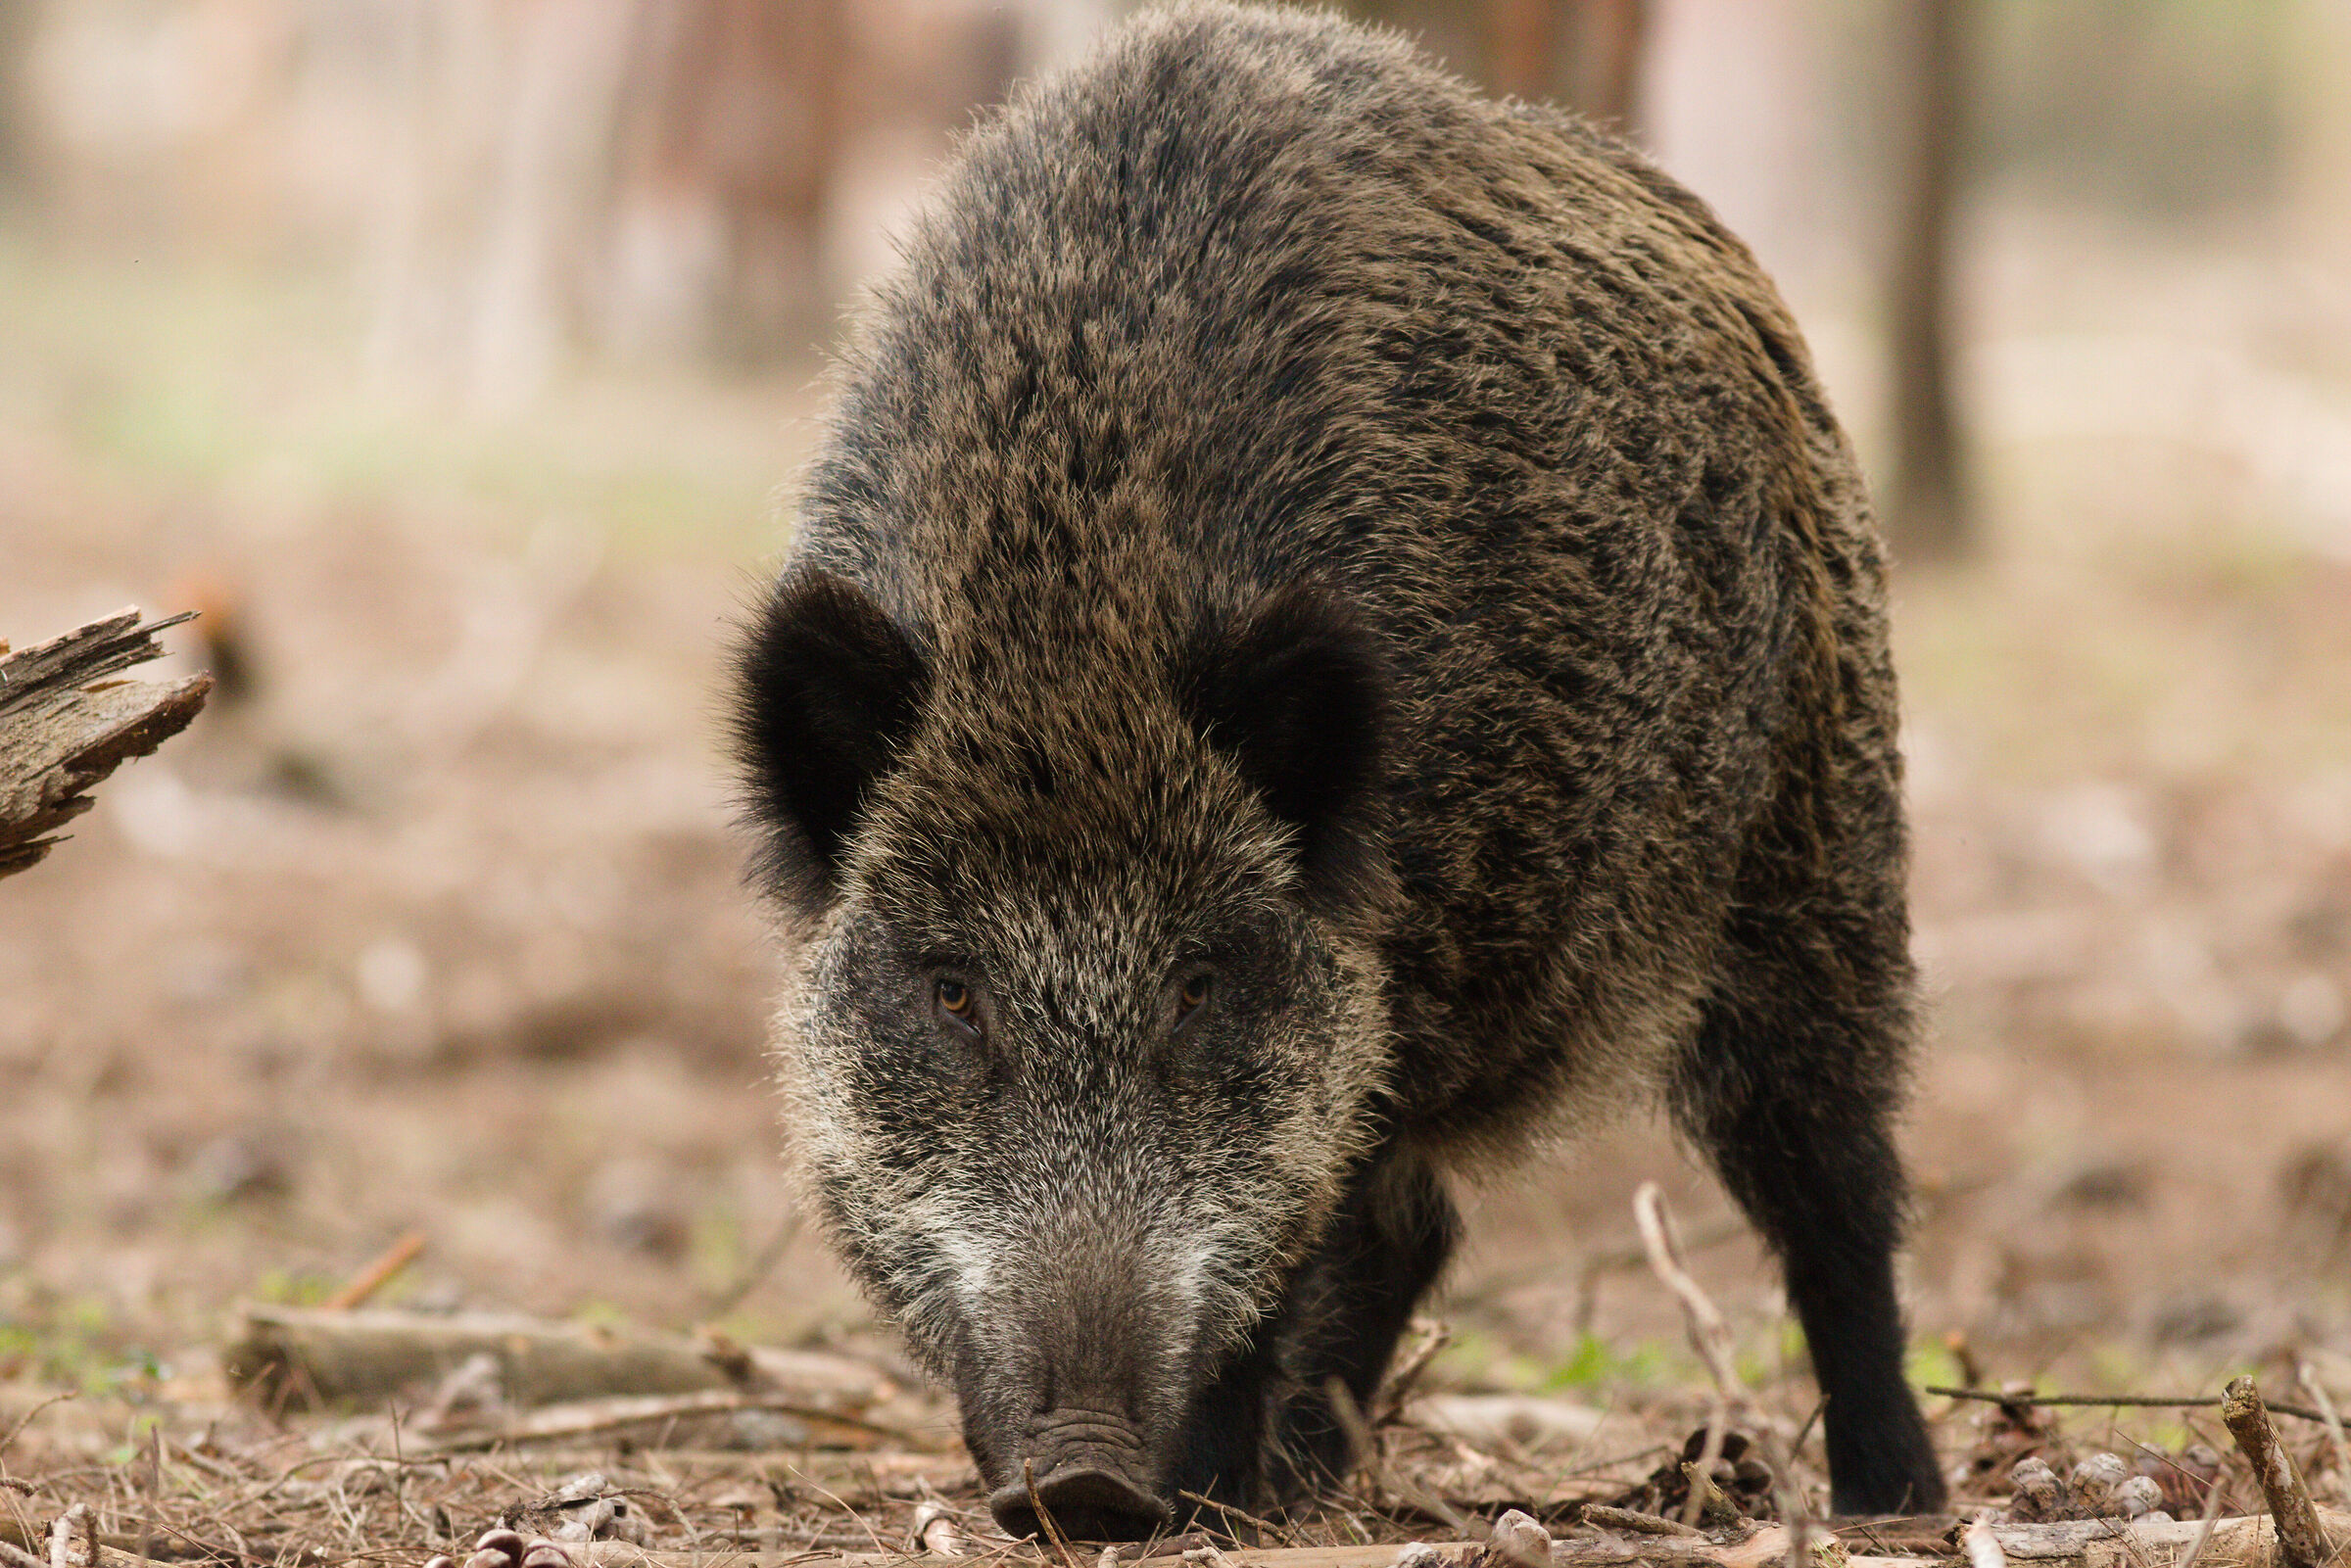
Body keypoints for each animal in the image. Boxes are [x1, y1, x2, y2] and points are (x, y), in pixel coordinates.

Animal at [731, 0, 1947, 1534]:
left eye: (1199, 983)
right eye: (951, 988)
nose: (1084, 1476)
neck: (1071, 620)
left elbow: (1285, 1245)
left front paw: (1203, 1502)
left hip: (1824, 845)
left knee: (1838, 1185)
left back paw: (1895, 1496)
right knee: (1420, 1217)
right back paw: (1309, 1482)